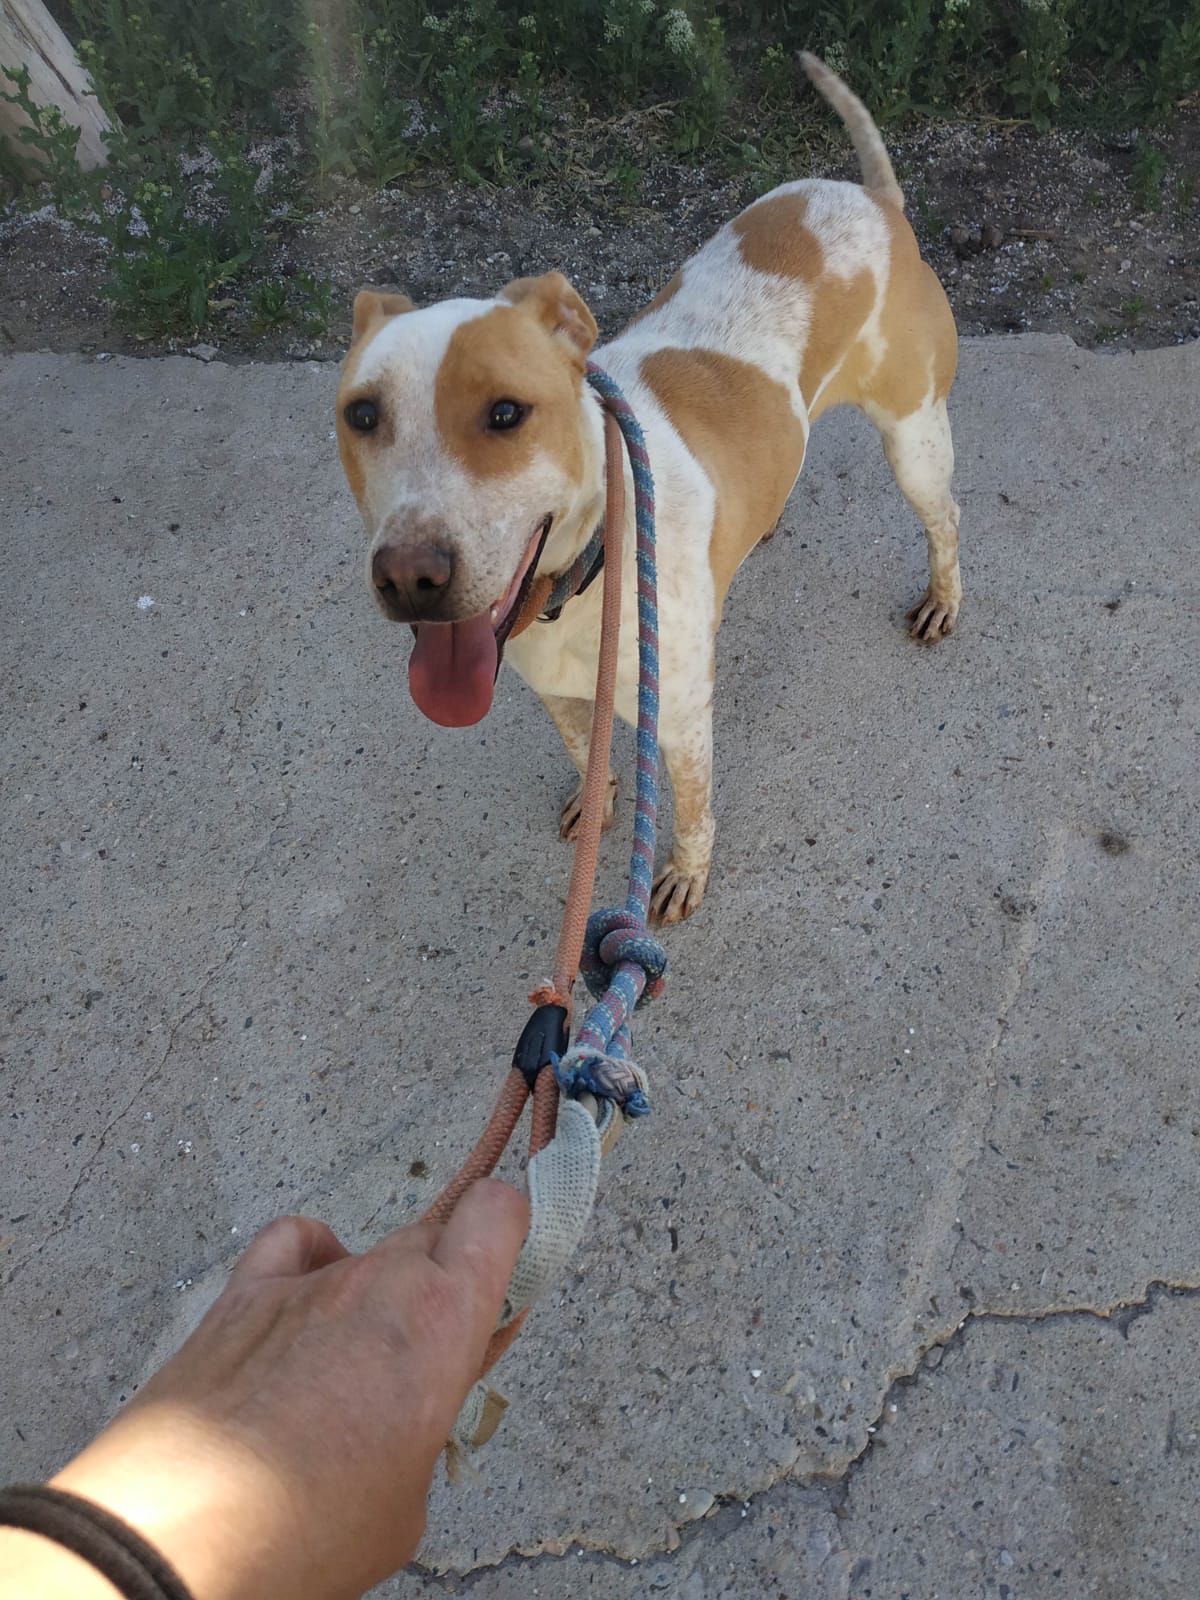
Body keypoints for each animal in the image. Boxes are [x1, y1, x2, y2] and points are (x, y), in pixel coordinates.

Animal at [336, 53, 960, 925]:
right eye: (361, 414)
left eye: (506, 412)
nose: (409, 578)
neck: (591, 569)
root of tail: (875, 200)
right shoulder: (557, 695)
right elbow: (584, 753)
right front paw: (595, 800)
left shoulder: (683, 718)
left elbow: (690, 808)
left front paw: (685, 874)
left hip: (914, 441)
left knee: (946, 518)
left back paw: (944, 597)